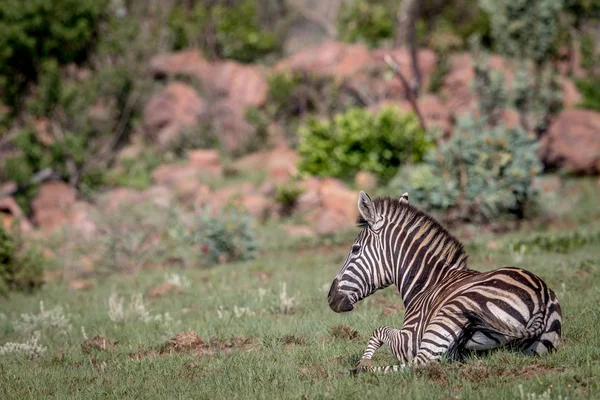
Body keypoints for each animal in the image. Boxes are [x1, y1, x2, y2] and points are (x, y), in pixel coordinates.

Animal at [326, 192, 560, 374]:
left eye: (355, 249)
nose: (330, 297)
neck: (428, 283)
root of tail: (540, 298)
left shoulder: (410, 339)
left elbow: (378, 331)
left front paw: (362, 362)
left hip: (450, 314)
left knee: (421, 364)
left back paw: (355, 371)